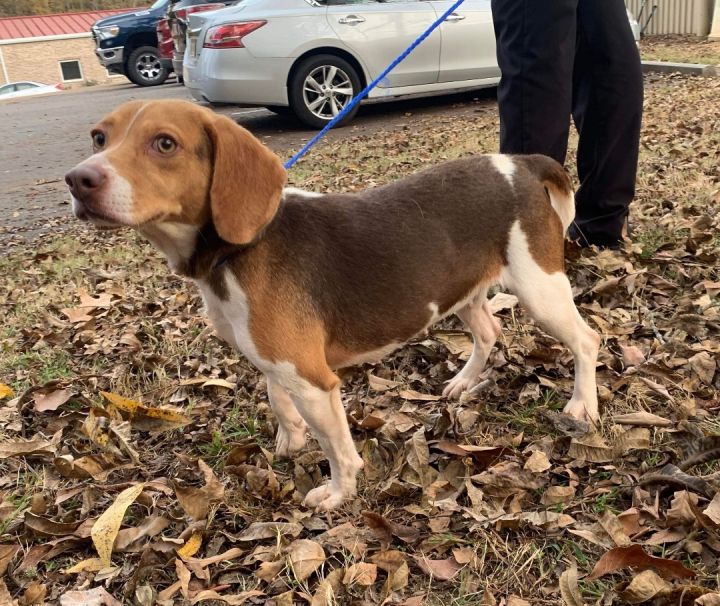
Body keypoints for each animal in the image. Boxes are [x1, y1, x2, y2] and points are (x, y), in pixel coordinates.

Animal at [66, 101, 600, 512]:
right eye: (98, 137)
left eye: (164, 144)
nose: (77, 180)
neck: (235, 250)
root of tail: (522, 163)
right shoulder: (278, 363)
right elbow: (277, 400)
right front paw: (291, 441)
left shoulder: (313, 380)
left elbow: (339, 449)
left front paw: (339, 493)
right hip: (461, 291)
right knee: (489, 333)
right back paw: (464, 381)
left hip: (539, 289)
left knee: (587, 340)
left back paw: (583, 405)